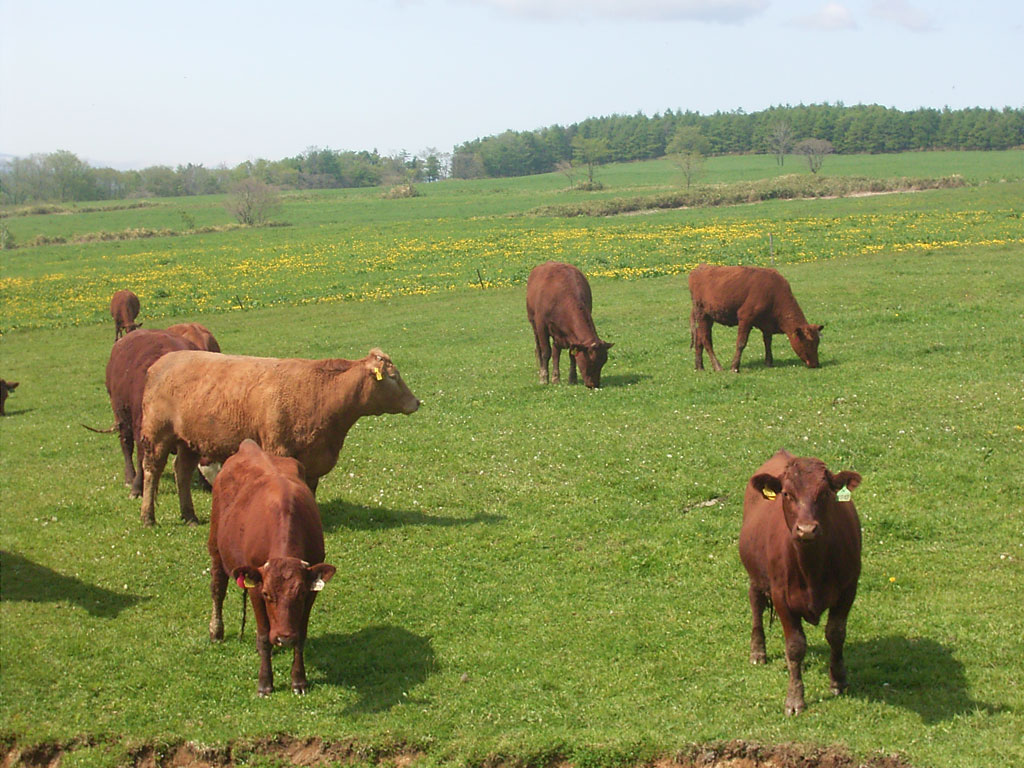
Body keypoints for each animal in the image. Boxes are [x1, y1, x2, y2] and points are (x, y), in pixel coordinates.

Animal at [207, 438, 335, 696]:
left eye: (300, 593)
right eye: (268, 594)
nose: (284, 638)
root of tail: (248, 446)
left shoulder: (312, 592)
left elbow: (301, 635)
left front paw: (299, 680)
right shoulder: (256, 589)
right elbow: (264, 636)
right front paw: (265, 683)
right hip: (215, 546)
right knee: (217, 588)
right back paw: (216, 630)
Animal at [688, 264, 823, 372]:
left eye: (818, 342)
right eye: (808, 343)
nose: (815, 364)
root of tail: (699, 268)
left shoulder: (767, 324)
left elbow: (768, 341)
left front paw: (769, 362)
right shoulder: (745, 317)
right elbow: (741, 343)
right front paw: (734, 367)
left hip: (708, 317)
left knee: (699, 339)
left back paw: (699, 366)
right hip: (702, 315)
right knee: (706, 340)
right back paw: (717, 367)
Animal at [737, 448, 864, 720]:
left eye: (825, 493)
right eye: (787, 493)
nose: (806, 530)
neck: (812, 569)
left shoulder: (848, 589)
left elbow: (836, 633)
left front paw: (838, 680)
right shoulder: (781, 597)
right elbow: (795, 647)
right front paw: (795, 699)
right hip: (756, 576)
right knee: (756, 604)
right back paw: (757, 651)